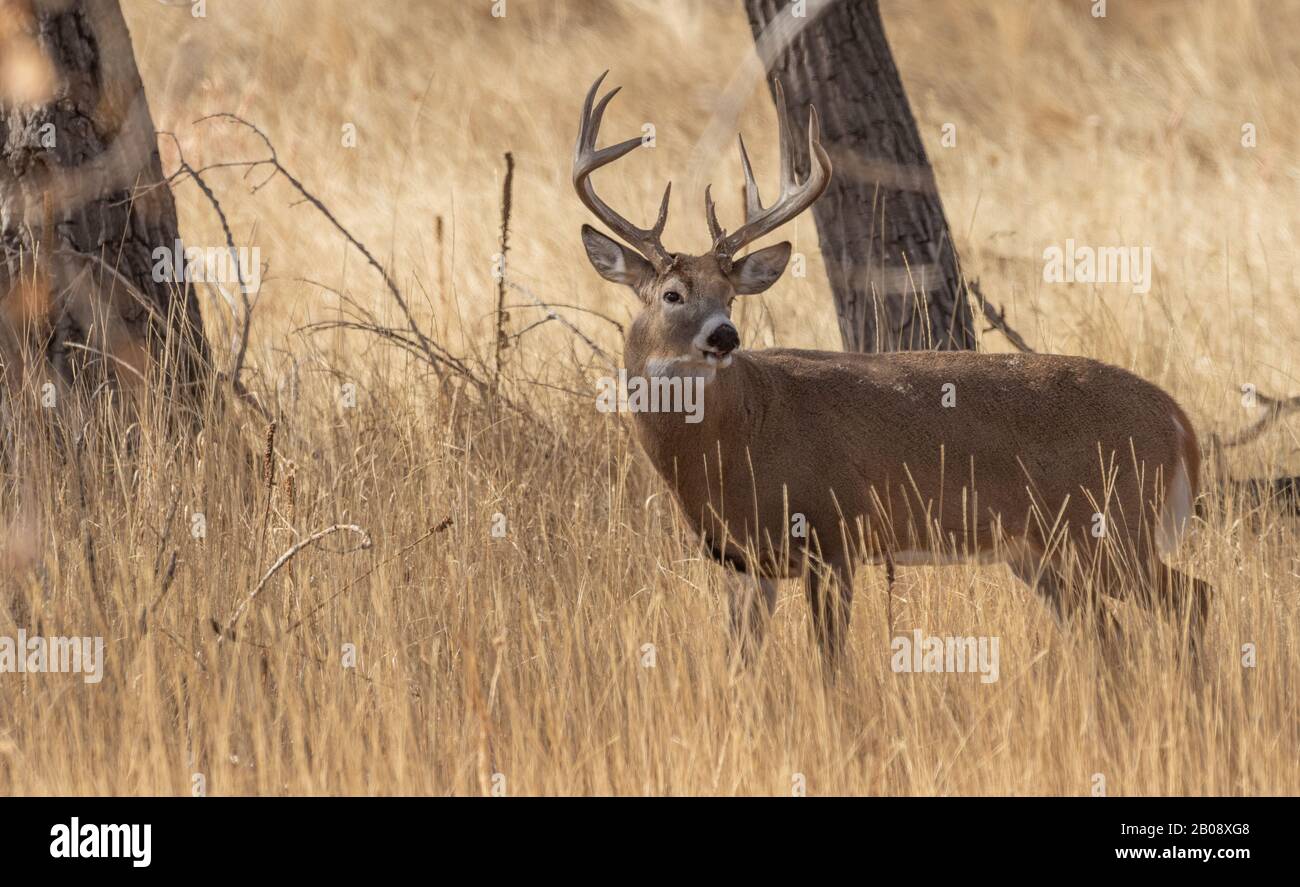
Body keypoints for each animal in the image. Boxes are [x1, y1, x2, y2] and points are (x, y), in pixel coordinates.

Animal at [573, 72, 1212, 670]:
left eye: (730, 295)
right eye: (673, 294)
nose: (725, 336)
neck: (737, 437)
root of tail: (1177, 419)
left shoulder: (832, 535)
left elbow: (832, 667)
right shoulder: (742, 562)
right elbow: (738, 665)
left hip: (1110, 526)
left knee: (1192, 597)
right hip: (1042, 551)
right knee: (1110, 635)